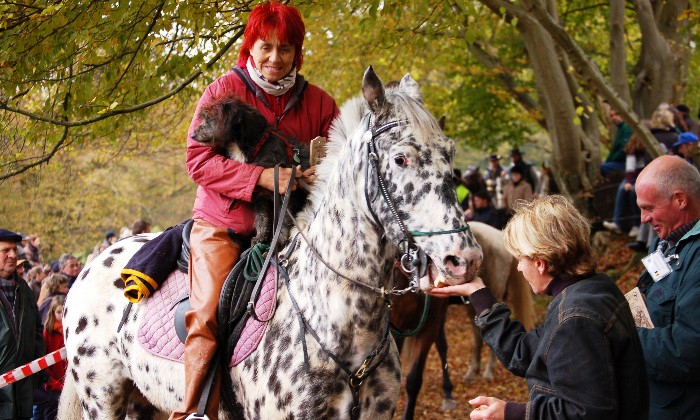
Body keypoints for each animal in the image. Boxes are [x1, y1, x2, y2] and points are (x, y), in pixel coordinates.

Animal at [390, 221, 535, 420]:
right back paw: (473, 371)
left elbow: (434, 355)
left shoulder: (432, 320)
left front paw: (447, 394)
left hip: (496, 292)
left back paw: (488, 371)